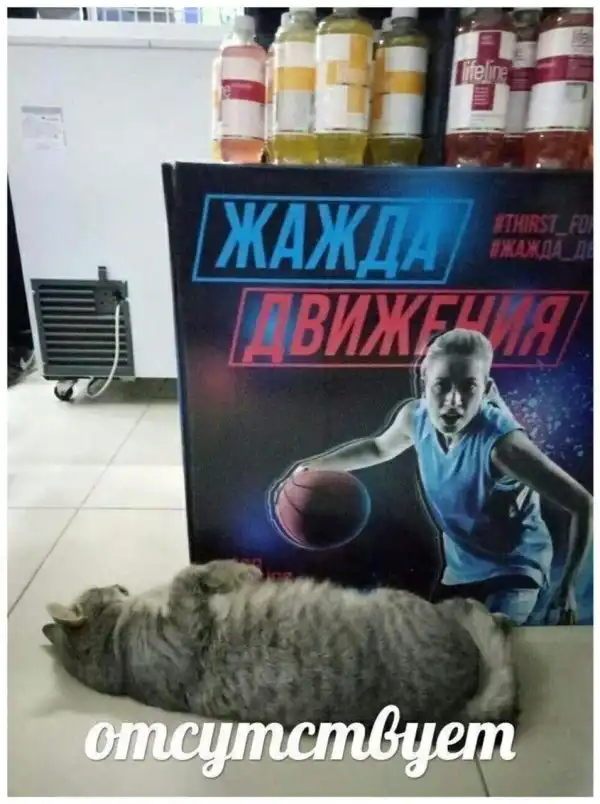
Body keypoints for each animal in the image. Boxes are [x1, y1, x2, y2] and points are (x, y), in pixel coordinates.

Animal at [42, 559, 518, 729]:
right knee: (476, 627)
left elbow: (202, 576)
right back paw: (485, 611)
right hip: (403, 601)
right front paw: (237, 568)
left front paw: (240, 573)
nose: (122, 585)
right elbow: (187, 575)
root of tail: (453, 710)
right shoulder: (186, 622)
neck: (116, 655)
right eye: (111, 588)